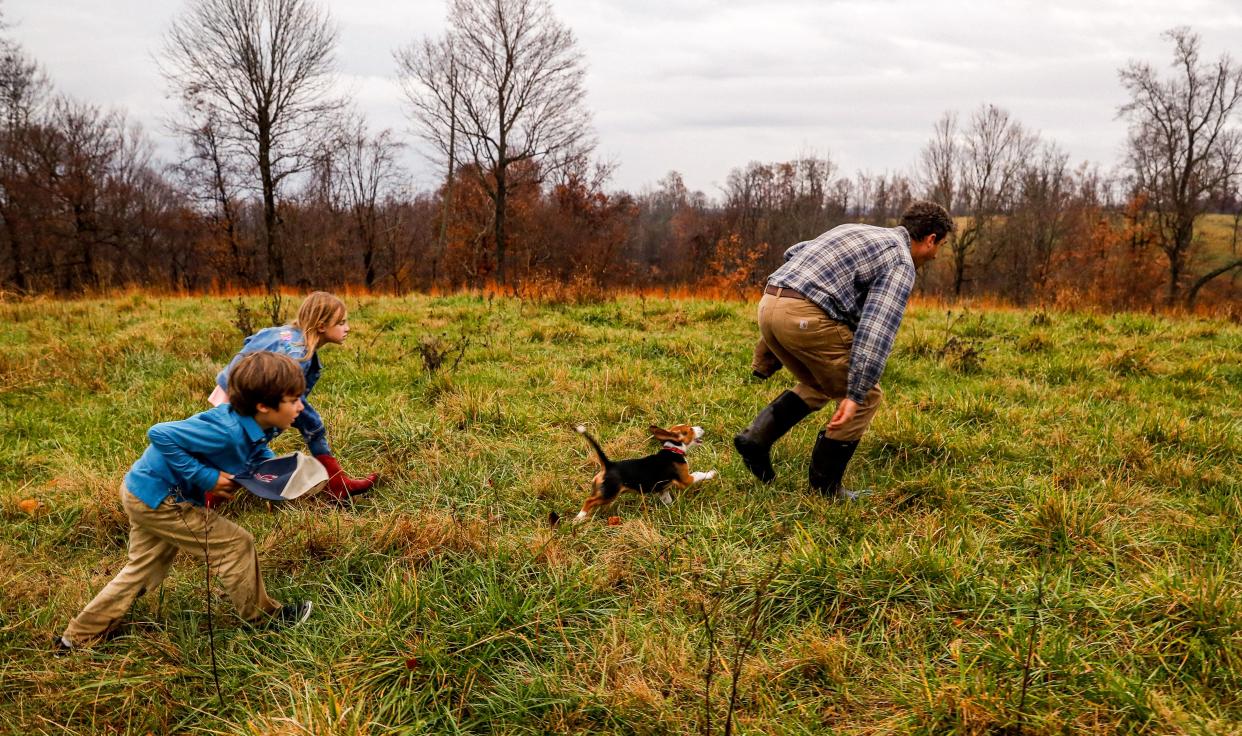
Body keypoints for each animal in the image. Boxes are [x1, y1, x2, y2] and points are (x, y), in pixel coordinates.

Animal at [571, 421, 720, 518]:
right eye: (689, 430)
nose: (702, 426)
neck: (674, 449)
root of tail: (609, 465)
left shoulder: (663, 488)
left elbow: (666, 498)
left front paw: (670, 508)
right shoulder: (686, 479)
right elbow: (699, 474)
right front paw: (712, 473)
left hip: (604, 491)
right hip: (609, 493)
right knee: (589, 501)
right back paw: (579, 518)